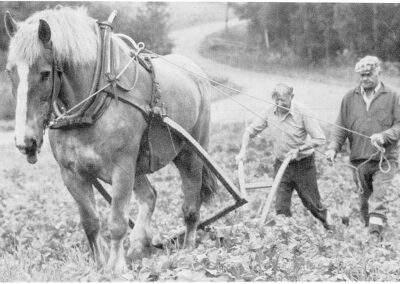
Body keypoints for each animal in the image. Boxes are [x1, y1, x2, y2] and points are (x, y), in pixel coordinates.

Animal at [4, 6, 217, 272]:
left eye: (44, 74)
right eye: (10, 71)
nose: (26, 141)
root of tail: (194, 71)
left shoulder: (122, 167)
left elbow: (116, 222)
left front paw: (116, 268)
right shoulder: (71, 174)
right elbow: (90, 223)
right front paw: (99, 266)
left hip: (190, 154)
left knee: (191, 206)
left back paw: (187, 252)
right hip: (140, 165)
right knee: (150, 196)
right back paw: (138, 246)